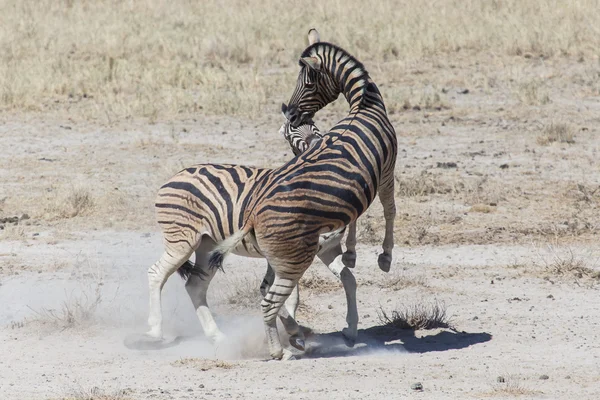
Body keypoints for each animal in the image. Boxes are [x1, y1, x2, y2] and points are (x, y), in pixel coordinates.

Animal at [206, 27, 398, 360]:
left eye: (307, 82)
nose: (292, 113)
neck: (364, 105)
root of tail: (252, 213)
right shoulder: (386, 172)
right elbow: (389, 209)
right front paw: (385, 257)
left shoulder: (356, 191)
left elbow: (355, 223)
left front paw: (351, 253)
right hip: (293, 258)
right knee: (270, 301)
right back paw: (280, 350)